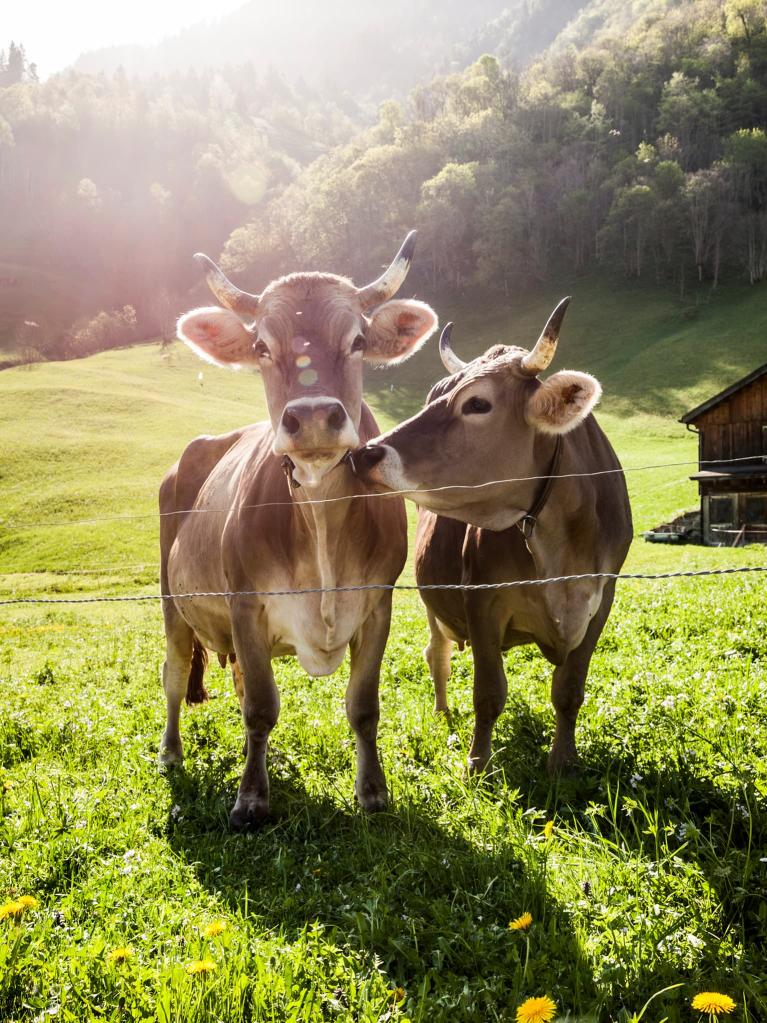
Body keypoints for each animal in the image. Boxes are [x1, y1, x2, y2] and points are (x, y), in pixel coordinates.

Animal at [159, 234, 438, 828]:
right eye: (261, 346)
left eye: (358, 340)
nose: (310, 417)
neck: (320, 518)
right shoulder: (245, 604)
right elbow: (262, 708)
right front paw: (250, 800)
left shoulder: (377, 605)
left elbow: (363, 705)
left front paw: (372, 791)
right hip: (173, 601)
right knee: (175, 671)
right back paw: (170, 751)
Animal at [351, 299, 632, 775]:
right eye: (435, 394)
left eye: (478, 403)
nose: (364, 453)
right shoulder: (481, 598)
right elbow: (488, 693)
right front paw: (477, 763)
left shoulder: (601, 599)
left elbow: (569, 690)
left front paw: (563, 760)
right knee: (437, 654)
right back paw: (443, 713)